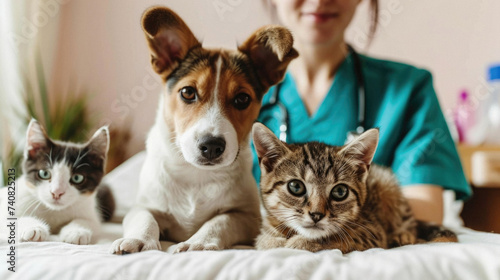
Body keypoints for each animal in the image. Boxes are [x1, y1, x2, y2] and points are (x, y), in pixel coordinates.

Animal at [110, 7, 296, 254]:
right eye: (188, 92)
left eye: (242, 99)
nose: (211, 146)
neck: (196, 175)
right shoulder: (143, 206)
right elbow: (145, 218)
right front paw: (138, 240)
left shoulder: (247, 217)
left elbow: (219, 221)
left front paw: (197, 243)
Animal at [254, 122, 458, 254]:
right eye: (296, 187)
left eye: (340, 192)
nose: (316, 215)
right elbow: (264, 240)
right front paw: (272, 240)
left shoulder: (371, 231)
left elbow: (336, 237)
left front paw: (300, 243)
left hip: (388, 185)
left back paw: (403, 236)